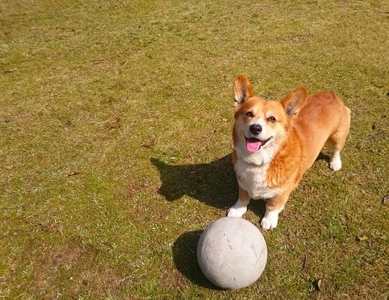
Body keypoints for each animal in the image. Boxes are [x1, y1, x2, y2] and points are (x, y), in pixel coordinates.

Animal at [226, 75, 350, 230]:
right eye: (249, 114)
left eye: (272, 119)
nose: (255, 128)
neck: (260, 160)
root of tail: (331, 94)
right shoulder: (242, 183)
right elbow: (243, 197)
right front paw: (238, 210)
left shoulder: (282, 192)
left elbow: (273, 206)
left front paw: (269, 221)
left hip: (336, 138)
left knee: (336, 150)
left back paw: (335, 163)